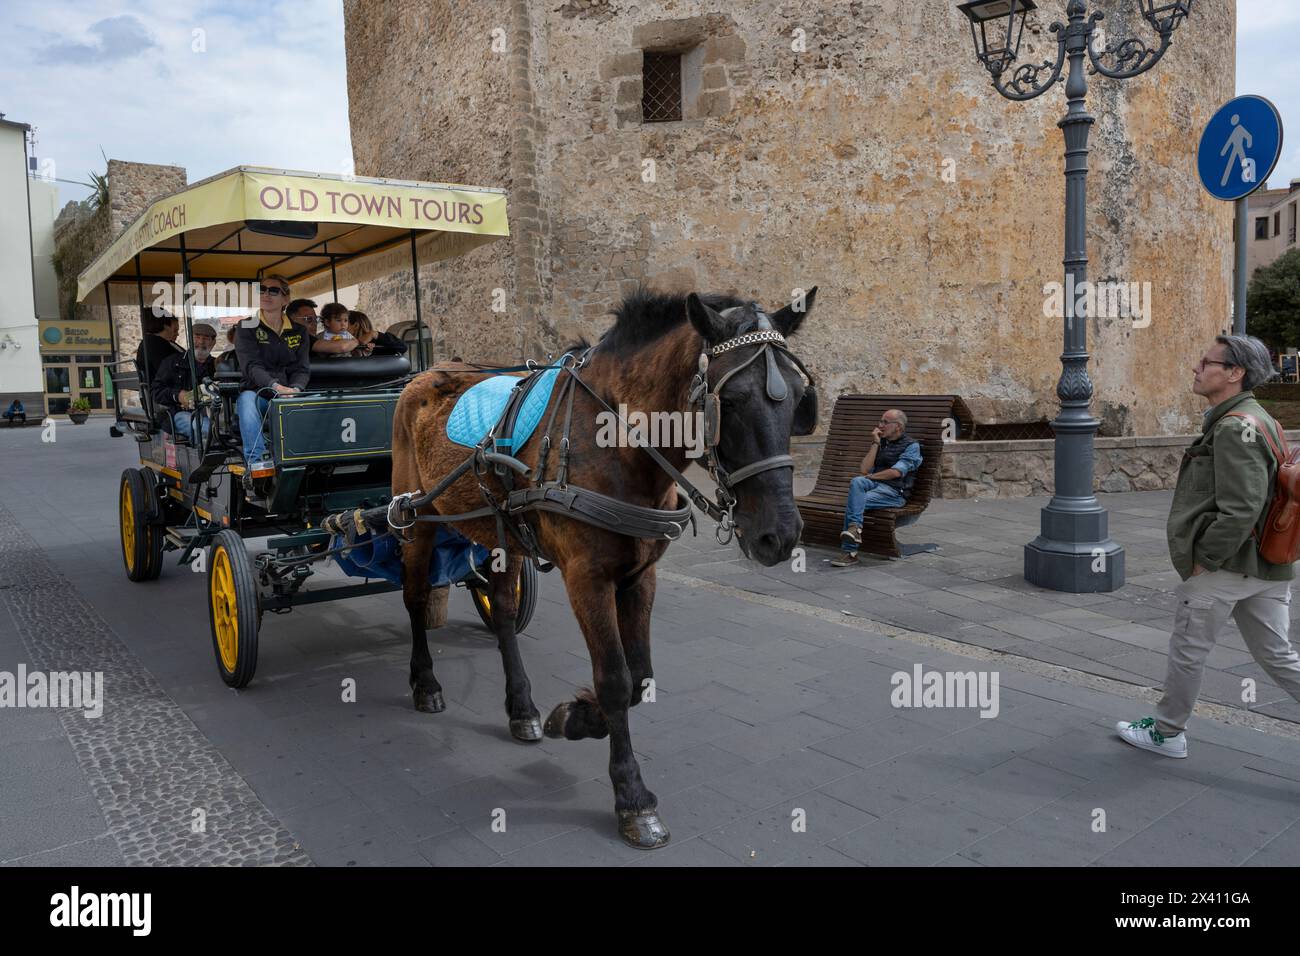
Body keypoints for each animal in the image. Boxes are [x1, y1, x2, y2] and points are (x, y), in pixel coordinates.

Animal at [384, 287, 816, 848]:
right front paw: (632, 796)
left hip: (503, 531)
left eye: (801, 401)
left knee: (503, 612)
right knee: (415, 598)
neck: (615, 441)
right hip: (415, 516)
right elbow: (615, 678)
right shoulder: (586, 577)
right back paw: (425, 684)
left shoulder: (641, 574)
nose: (779, 535)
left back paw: (521, 707)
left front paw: (575, 717)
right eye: (734, 400)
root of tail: (423, 374)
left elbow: (642, 676)